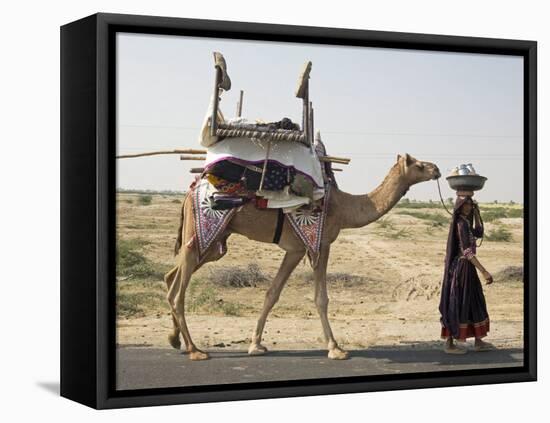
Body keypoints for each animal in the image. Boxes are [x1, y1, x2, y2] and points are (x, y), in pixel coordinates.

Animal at [163, 154, 440, 360]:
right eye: (418, 164)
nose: (436, 168)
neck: (345, 208)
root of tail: (189, 192)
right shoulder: (321, 243)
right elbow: (321, 298)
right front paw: (335, 348)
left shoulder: (294, 250)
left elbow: (272, 294)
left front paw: (256, 345)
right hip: (202, 231)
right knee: (178, 291)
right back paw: (195, 350)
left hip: (214, 242)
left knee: (171, 277)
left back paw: (175, 340)